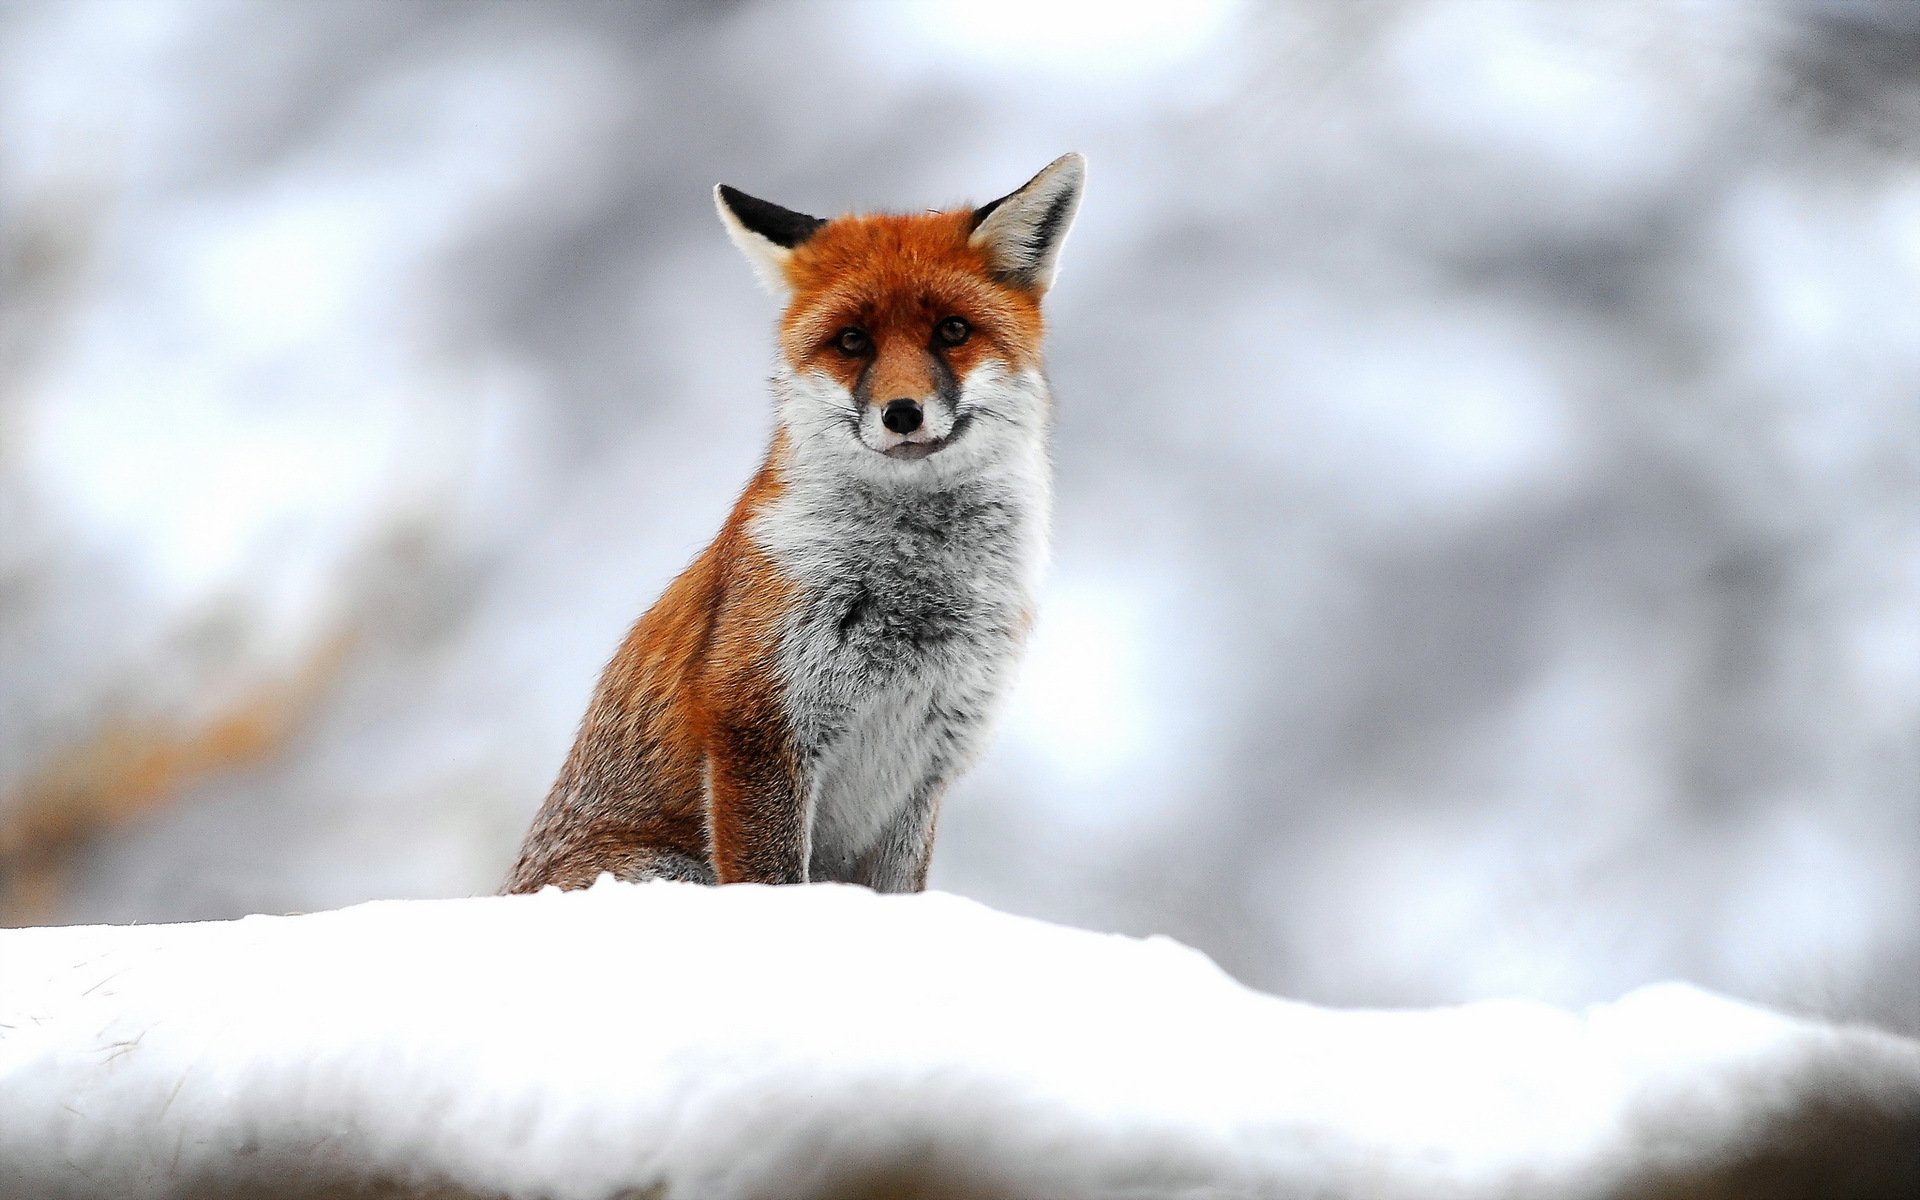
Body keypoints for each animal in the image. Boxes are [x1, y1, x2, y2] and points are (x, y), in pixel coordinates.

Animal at [503, 154, 1084, 894]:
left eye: (952, 331)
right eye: (852, 341)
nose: (902, 412)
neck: (916, 592)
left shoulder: (926, 766)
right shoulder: (759, 724)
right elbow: (774, 880)